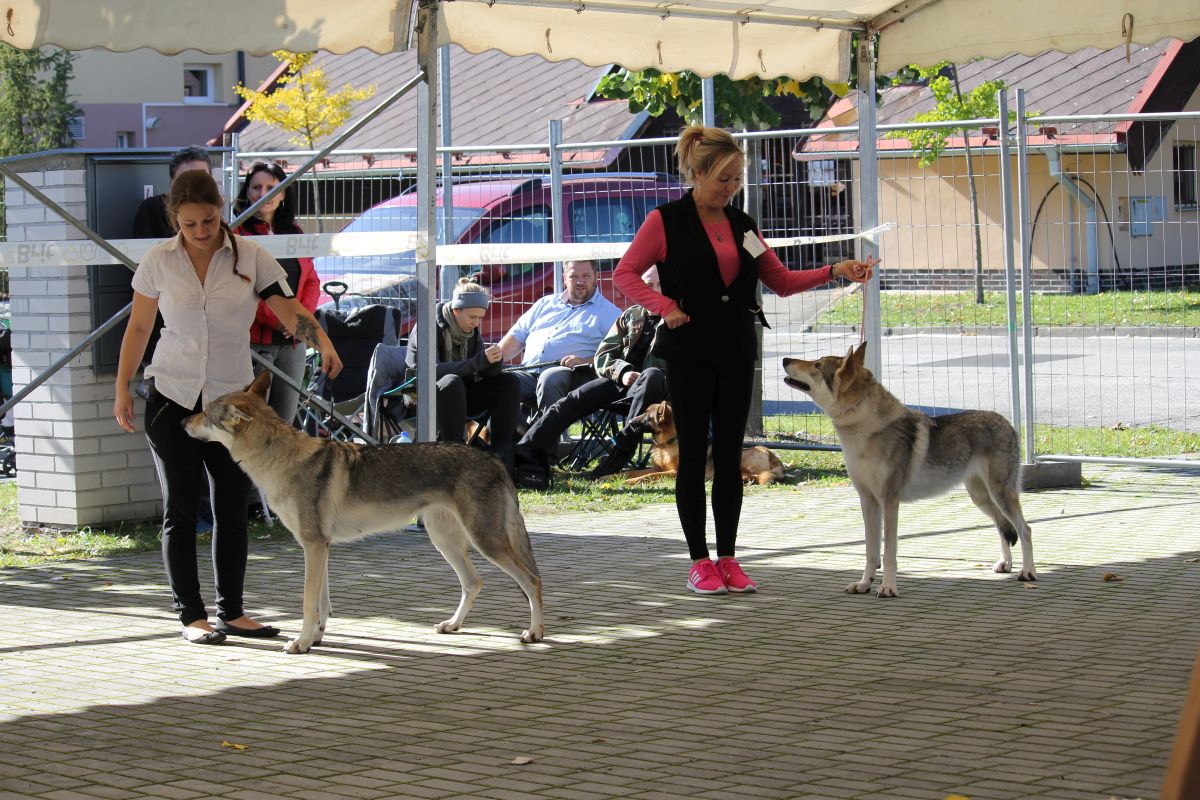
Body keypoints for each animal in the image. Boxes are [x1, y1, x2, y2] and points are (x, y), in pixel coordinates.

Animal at [609, 402, 787, 484]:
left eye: (647, 414)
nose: (629, 421)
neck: (668, 443)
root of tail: (774, 457)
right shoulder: (657, 468)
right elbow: (632, 472)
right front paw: (608, 477)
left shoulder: (673, 472)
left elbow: (649, 476)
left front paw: (630, 482)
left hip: (741, 458)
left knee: (757, 476)